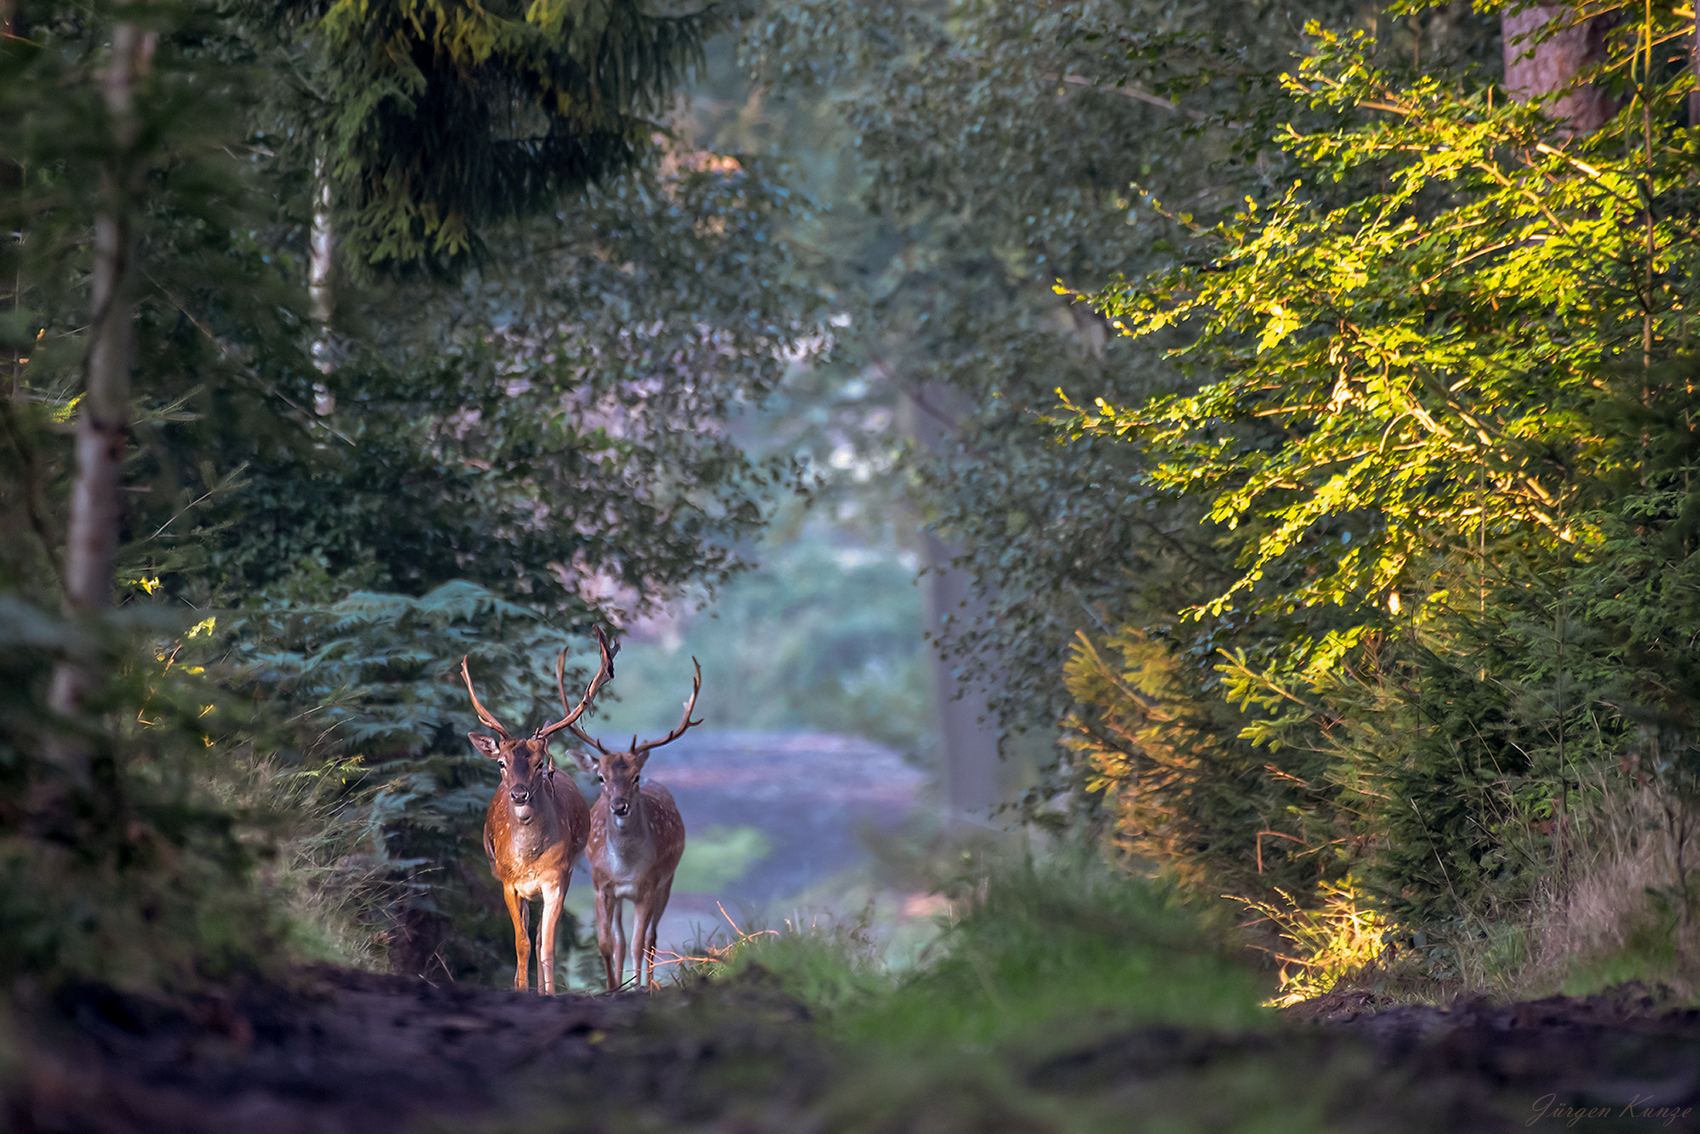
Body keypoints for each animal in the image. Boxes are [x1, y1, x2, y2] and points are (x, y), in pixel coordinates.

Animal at [567, 656, 700, 992]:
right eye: (601, 778)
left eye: (635, 777)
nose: (619, 805)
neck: (625, 867)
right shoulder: (601, 885)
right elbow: (607, 943)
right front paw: (613, 987)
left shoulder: (648, 886)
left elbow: (641, 942)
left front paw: (638, 986)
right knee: (622, 941)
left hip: (669, 879)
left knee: (651, 938)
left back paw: (648, 983)